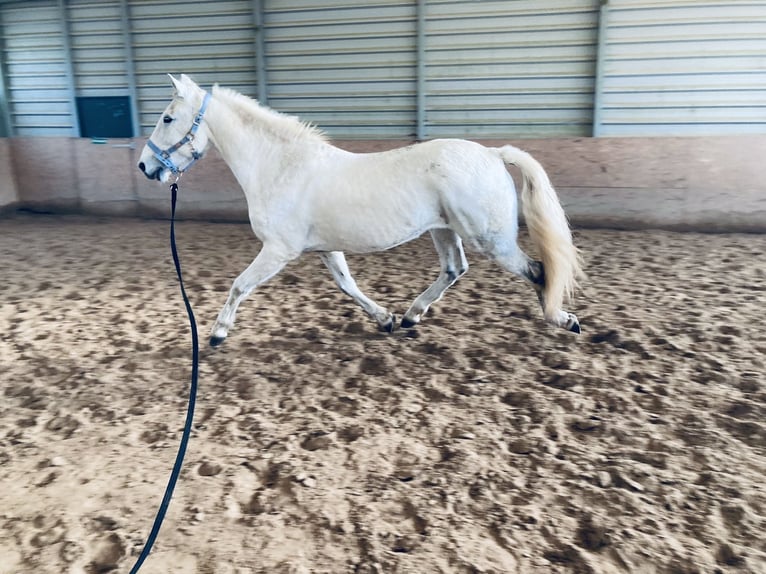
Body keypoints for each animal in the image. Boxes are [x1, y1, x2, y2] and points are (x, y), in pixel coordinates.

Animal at [138, 76, 584, 346]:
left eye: (167, 117)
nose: (145, 166)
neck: (281, 166)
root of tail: (492, 153)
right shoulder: (323, 248)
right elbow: (347, 285)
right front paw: (385, 319)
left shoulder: (278, 250)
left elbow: (238, 286)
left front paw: (216, 334)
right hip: (444, 229)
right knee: (455, 269)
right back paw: (411, 317)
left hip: (490, 239)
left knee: (537, 271)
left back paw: (563, 320)